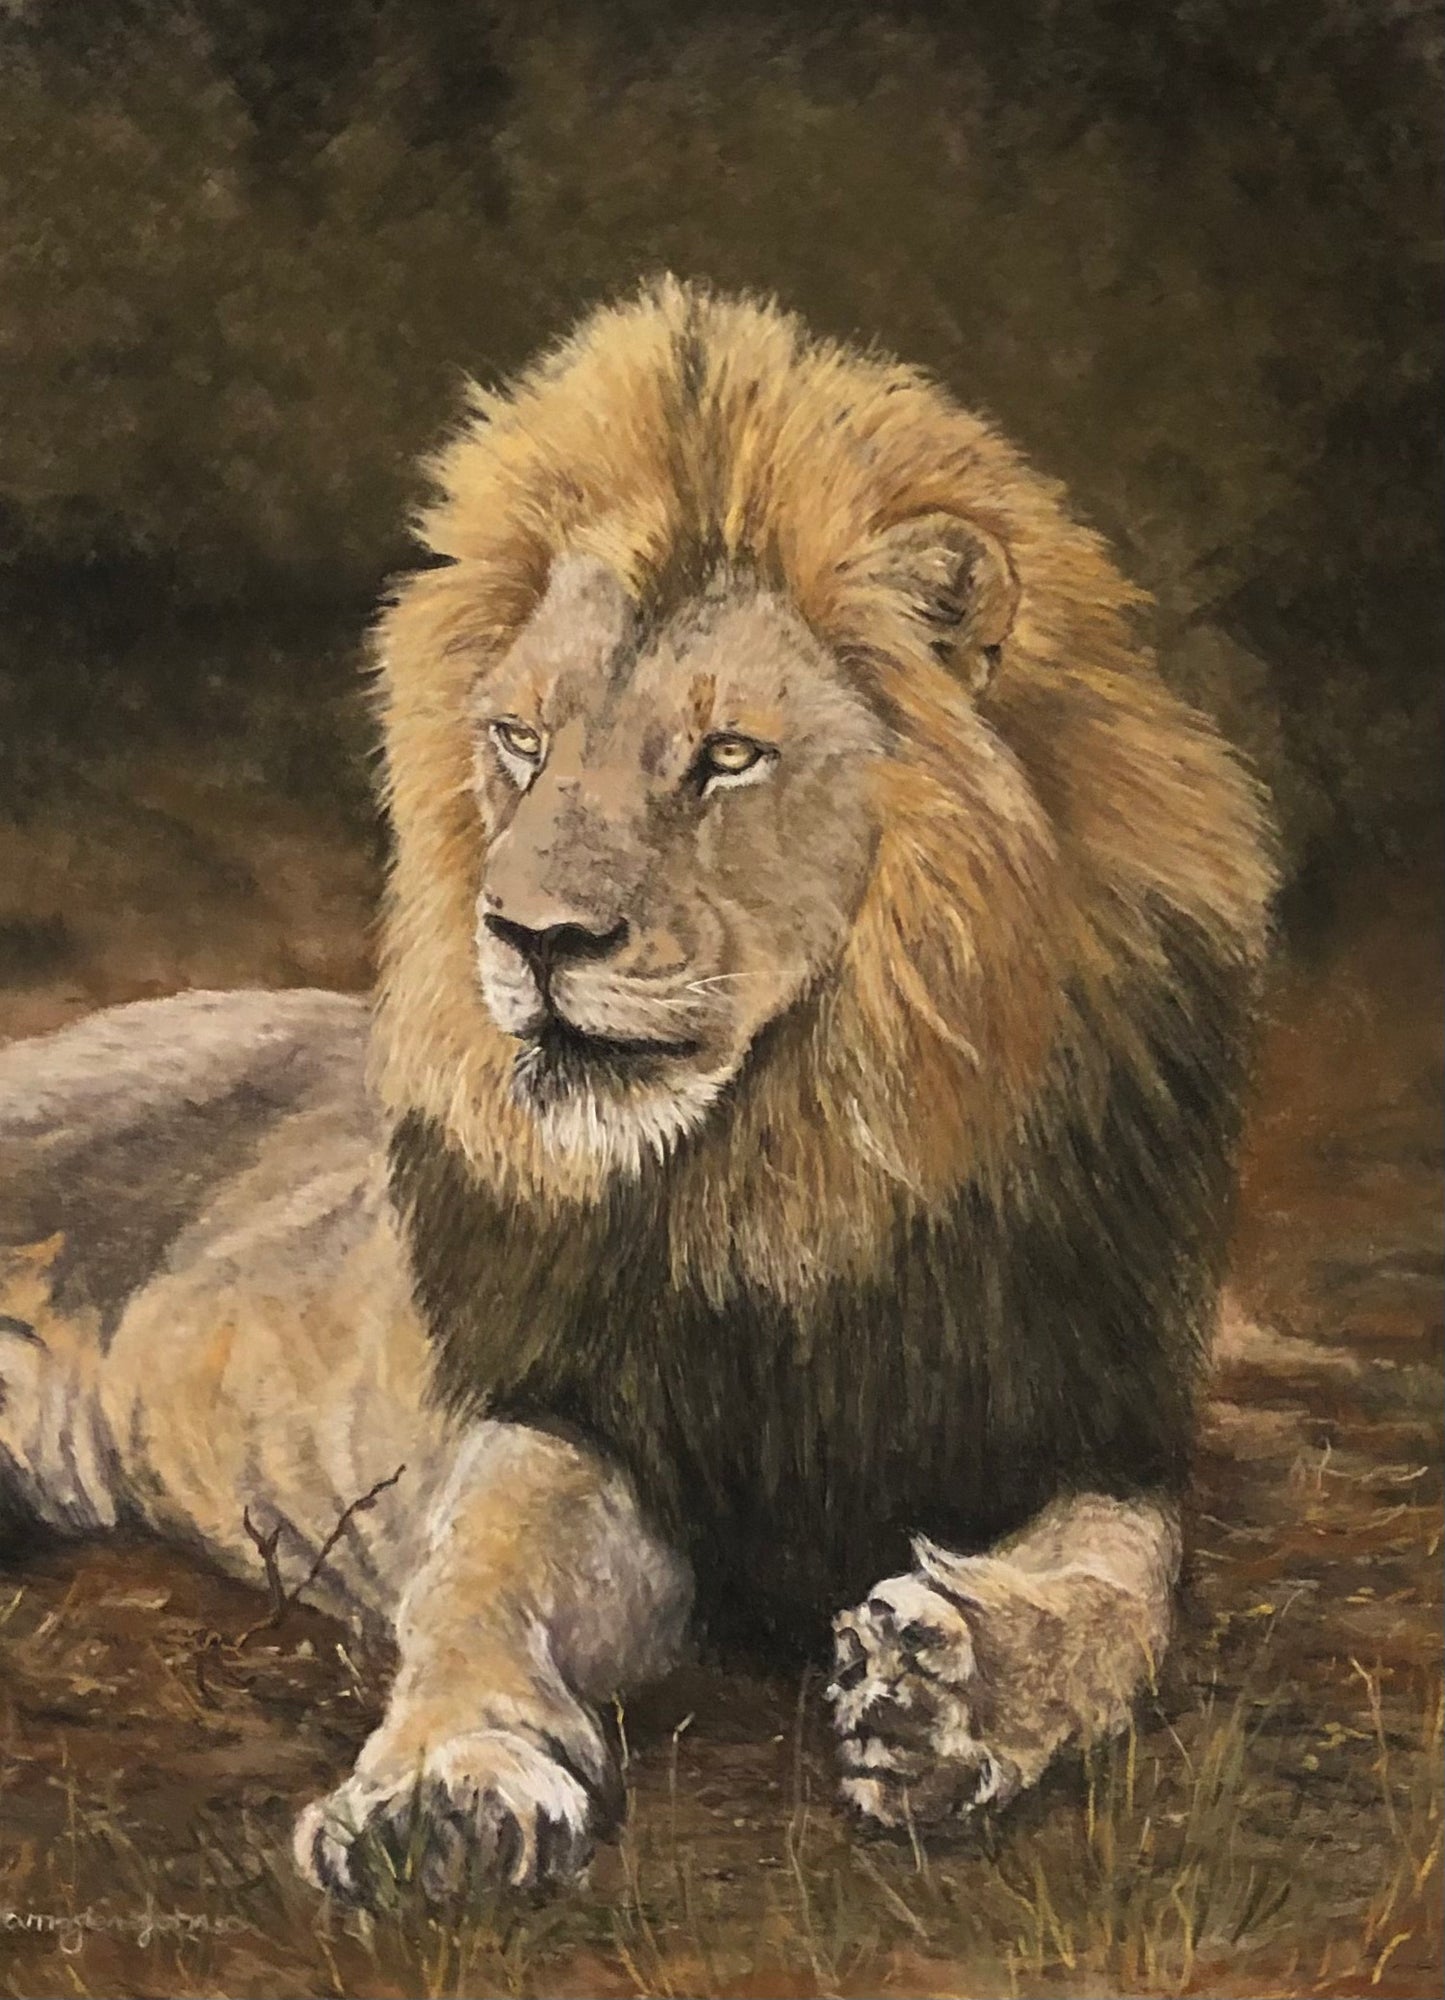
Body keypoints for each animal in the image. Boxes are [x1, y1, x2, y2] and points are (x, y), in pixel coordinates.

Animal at [0, 279, 1274, 1899]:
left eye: (724, 756)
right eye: (521, 743)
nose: (533, 935)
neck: (795, 1172)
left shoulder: (1080, 1415)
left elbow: (1125, 1593)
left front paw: (949, 1696)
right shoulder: (569, 1413)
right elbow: (483, 1581)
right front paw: (443, 1786)